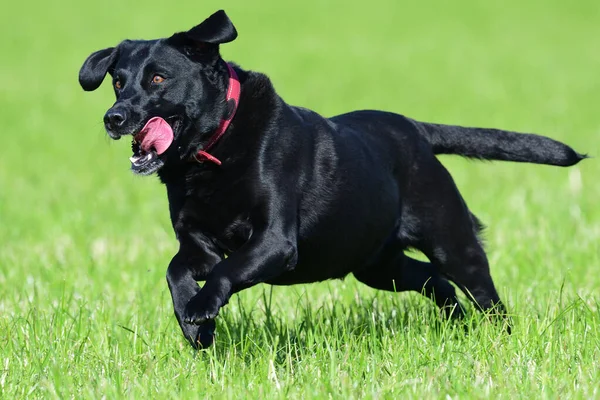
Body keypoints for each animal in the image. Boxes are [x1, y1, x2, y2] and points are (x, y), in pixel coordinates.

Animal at [79, 9, 584, 346]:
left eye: (158, 79)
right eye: (118, 81)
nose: (113, 117)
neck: (214, 153)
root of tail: (416, 129)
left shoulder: (274, 242)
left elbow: (225, 271)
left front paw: (202, 308)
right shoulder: (197, 243)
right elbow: (176, 269)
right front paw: (191, 322)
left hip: (451, 241)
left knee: (483, 294)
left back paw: (499, 336)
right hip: (377, 264)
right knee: (432, 281)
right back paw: (454, 324)